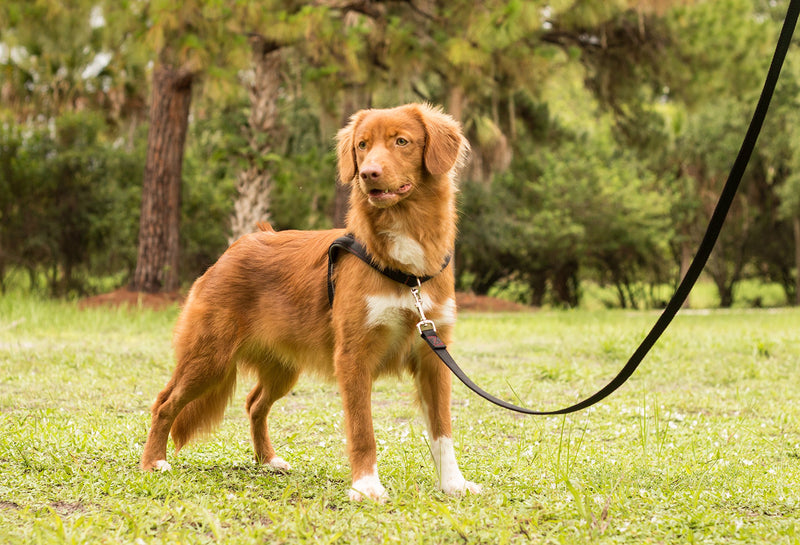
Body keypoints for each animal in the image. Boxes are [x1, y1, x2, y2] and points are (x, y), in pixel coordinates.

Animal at [141, 102, 482, 502]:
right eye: (362, 145)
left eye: (401, 141)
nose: (367, 173)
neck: (406, 267)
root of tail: (237, 245)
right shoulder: (353, 356)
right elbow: (363, 429)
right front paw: (366, 486)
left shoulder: (433, 353)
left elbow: (442, 430)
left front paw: (453, 484)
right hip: (210, 357)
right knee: (165, 402)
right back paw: (154, 461)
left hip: (282, 368)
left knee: (254, 404)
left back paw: (268, 460)